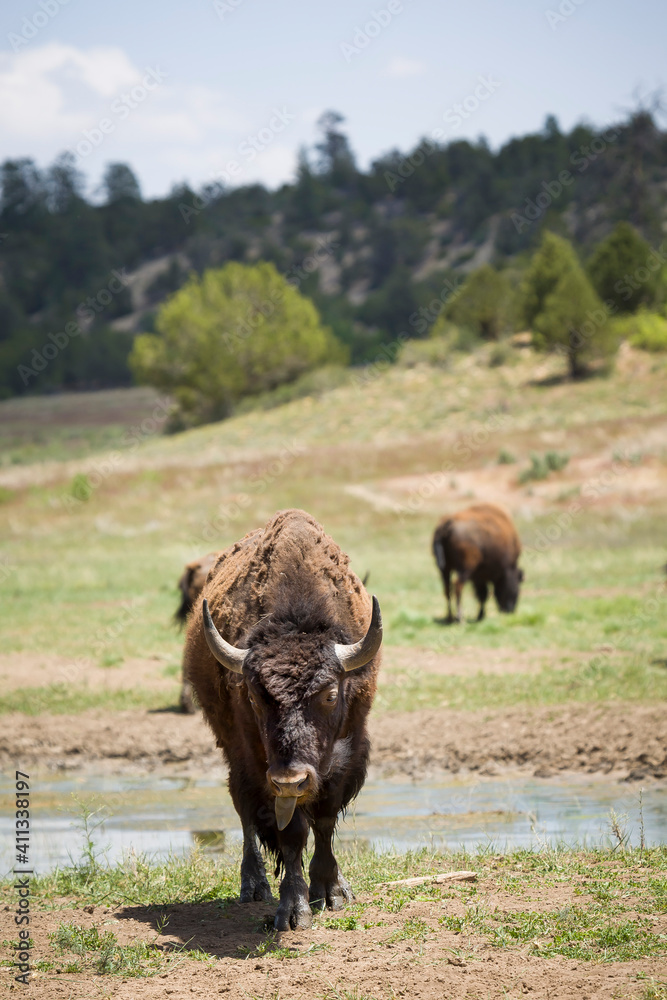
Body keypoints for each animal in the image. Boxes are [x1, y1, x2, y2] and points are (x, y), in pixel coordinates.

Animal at [183, 512, 384, 932]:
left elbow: (324, 818)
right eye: (255, 696)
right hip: (235, 753)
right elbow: (291, 832)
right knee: (244, 810)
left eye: (330, 693)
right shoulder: (261, 764)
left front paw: (332, 891)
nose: (291, 779)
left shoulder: (347, 753)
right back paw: (253, 885)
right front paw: (294, 909)